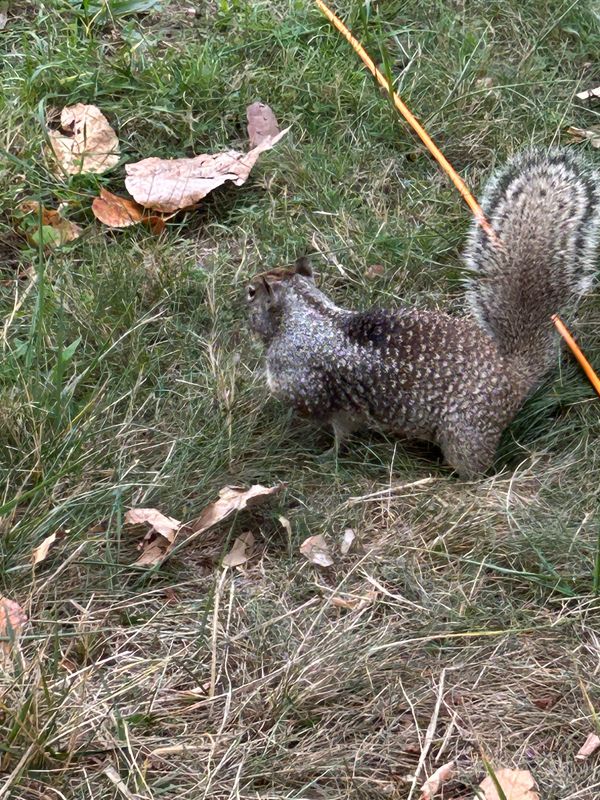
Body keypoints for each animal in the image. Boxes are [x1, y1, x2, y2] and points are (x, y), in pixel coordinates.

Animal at [246, 150, 600, 478]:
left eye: (251, 293)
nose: (240, 295)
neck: (309, 314)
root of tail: (513, 376)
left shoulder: (309, 387)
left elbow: (338, 432)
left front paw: (322, 455)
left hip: (465, 434)